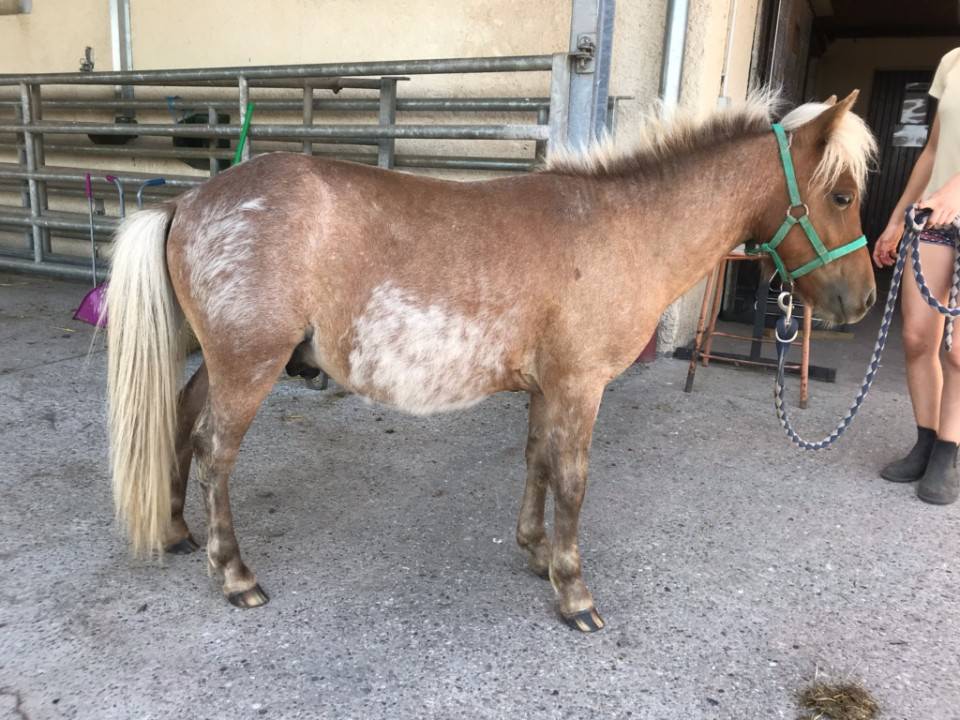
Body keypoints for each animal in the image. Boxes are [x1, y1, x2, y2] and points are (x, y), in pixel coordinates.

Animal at [107, 90, 876, 632]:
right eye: (842, 195)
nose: (862, 299)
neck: (622, 228)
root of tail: (191, 200)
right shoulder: (580, 386)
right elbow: (572, 479)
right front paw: (574, 590)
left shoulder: (548, 387)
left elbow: (537, 459)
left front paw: (536, 552)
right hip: (249, 366)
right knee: (216, 452)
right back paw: (234, 574)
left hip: (219, 360)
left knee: (181, 424)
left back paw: (177, 531)